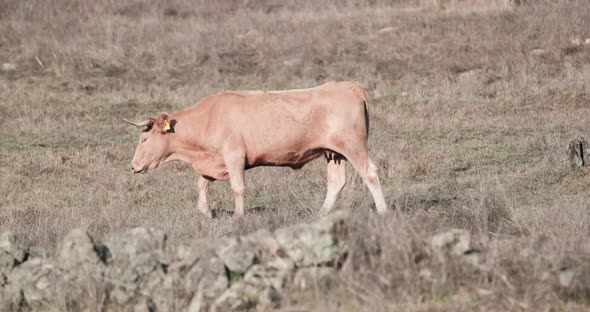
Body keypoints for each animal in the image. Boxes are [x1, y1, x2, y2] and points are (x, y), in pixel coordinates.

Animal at [125, 81, 388, 217]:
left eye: (143, 140)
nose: (133, 166)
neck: (209, 118)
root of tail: (347, 86)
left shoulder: (234, 157)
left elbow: (237, 188)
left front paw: (239, 216)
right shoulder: (213, 161)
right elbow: (201, 183)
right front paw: (206, 211)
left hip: (352, 146)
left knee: (370, 173)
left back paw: (383, 211)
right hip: (334, 153)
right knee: (336, 182)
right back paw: (321, 214)